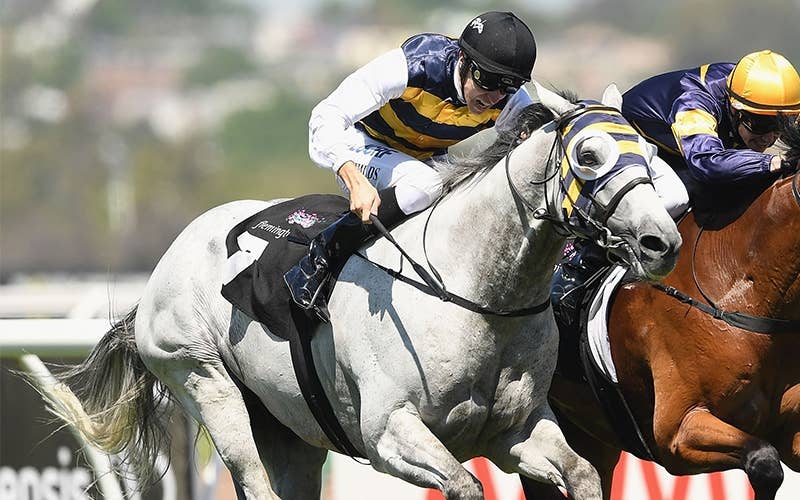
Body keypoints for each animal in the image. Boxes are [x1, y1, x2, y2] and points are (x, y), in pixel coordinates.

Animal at [31, 82, 682, 500]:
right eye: (589, 154)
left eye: (651, 152)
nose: (662, 242)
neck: (477, 296)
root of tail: (159, 273)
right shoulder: (389, 433)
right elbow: (464, 484)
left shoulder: (515, 431)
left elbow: (583, 475)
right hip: (203, 378)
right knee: (252, 476)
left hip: (288, 426)